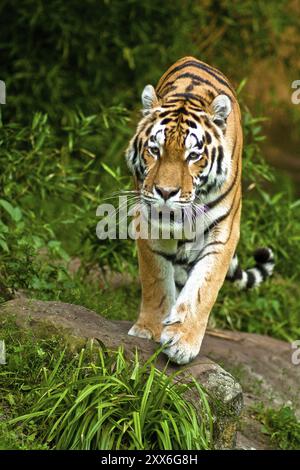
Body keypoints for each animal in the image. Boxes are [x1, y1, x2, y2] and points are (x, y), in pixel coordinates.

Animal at [124, 55, 274, 364]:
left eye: (193, 156)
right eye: (154, 150)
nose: (165, 192)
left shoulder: (224, 232)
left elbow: (203, 289)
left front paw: (182, 341)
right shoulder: (147, 223)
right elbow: (156, 279)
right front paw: (150, 329)